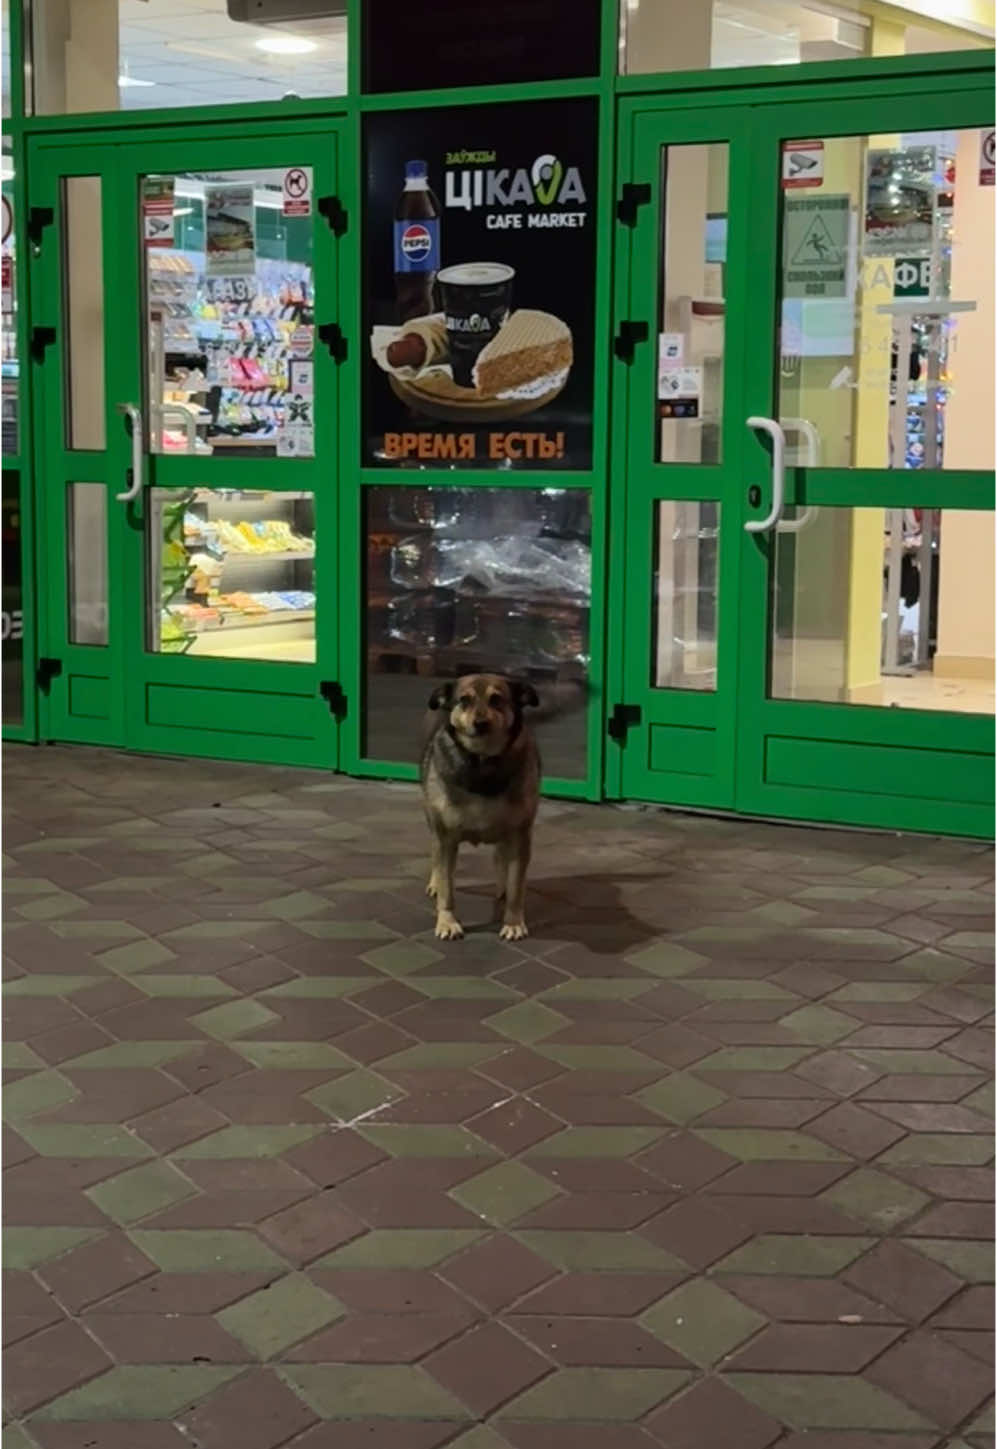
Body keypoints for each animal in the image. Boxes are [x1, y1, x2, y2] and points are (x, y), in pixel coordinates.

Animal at [423, 675, 544, 944]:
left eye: (496, 699)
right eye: (464, 700)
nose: (480, 723)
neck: (482, 763)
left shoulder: (520, 836)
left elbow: (516, 888)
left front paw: (513, 923)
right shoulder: (445, 837)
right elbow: (447, 887)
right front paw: (447, 922)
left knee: (500, 859)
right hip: (433, 823)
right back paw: (434, 883)